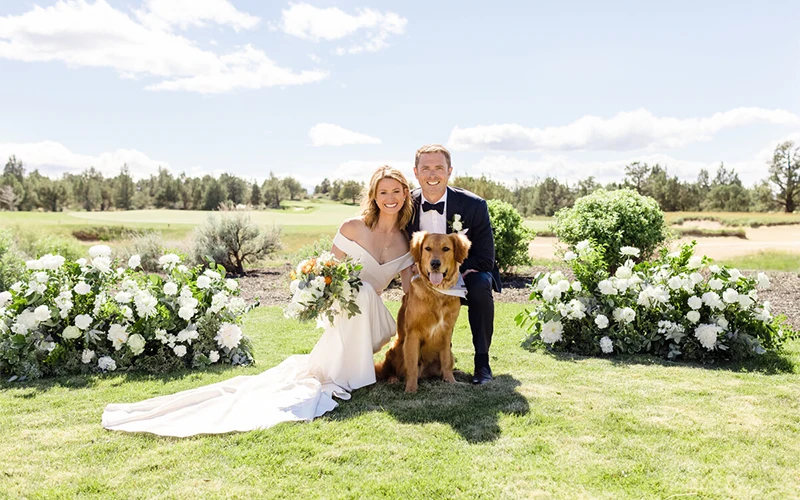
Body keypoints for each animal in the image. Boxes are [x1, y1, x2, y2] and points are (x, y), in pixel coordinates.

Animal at [374, 232, 468, 392]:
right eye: (427, 248)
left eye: (446, 248)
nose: (435, 263)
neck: (436, 293)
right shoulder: (413, 333)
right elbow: (411, 365)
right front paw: (411, 389)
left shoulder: (447, 331)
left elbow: (446, 361)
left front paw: (451, 381)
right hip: (396, 348)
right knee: (392, 370)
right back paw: (393, 379)